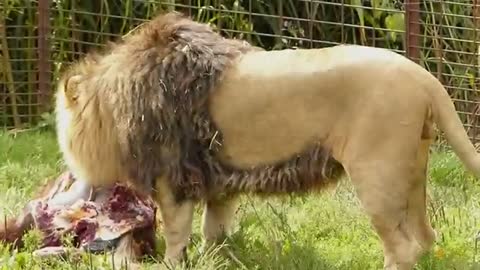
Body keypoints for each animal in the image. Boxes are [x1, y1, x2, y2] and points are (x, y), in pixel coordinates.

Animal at [53, 11, 480, 270]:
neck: (110, 103)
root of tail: (425, 77)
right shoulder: (217, 179)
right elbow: (213, 229)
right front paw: (215, 258)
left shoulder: (172, 177)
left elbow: (176, 233)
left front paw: (172, 263)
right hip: (413, 172)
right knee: (424, 238)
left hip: (377, 173)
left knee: (402, 247)